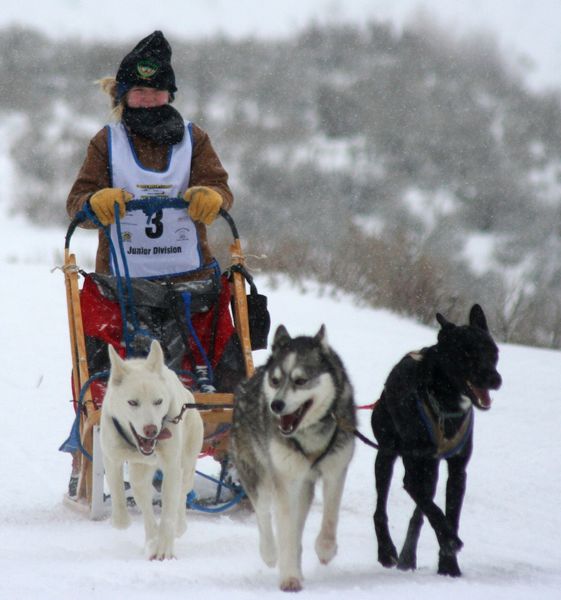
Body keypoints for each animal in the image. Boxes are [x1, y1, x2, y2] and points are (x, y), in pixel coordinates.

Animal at [372, 304, 498, 576]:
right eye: (467, 354)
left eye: (493, 352)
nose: (495, 379)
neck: (446, 404)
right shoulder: (412, 471)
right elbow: (436, 511)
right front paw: (450, 542)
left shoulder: (458, 471)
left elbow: (449, 514)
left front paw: (449, 565)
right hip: (387, 454)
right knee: (381, 508)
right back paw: (387, 550)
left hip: (430, 470)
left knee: (420, 511)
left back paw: (408, 556)